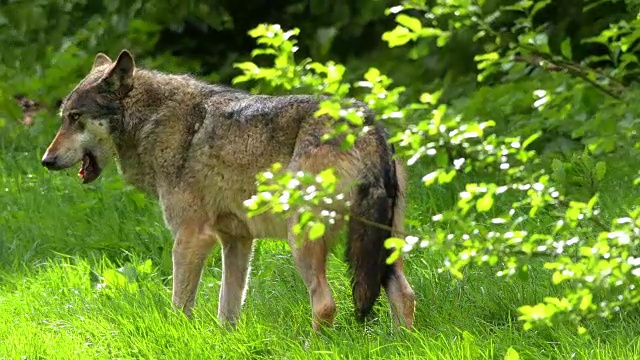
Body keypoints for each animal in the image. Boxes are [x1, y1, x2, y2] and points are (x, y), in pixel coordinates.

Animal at [42, 49, 418, 330]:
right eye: (64, 118)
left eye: (75, 118)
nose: (46, 161)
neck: (152, 121)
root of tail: (367, 124)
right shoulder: (237, 240)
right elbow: (228, 310)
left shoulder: (192, 237)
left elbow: (180, 306)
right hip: (382, 248)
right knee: (405, 295)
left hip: (303, 240)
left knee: (326, 304)